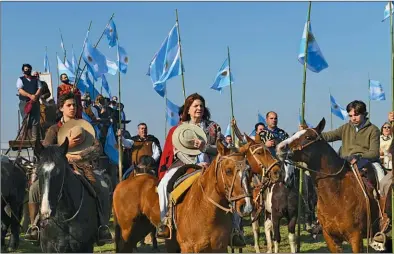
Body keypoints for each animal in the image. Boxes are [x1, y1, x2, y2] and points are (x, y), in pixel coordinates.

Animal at [113, 140, 255, 253]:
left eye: (249, 170)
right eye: (228, 171)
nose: (247, 207)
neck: (206, 207)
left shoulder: (219, 248)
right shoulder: (189, 248)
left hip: (141, 228)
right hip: (128, 229)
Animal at [276, 118, 392, 253]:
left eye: (308, 137)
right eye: (295, 133)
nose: (280, 147)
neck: (336, 194)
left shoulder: (356, 238)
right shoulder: (331, 238)